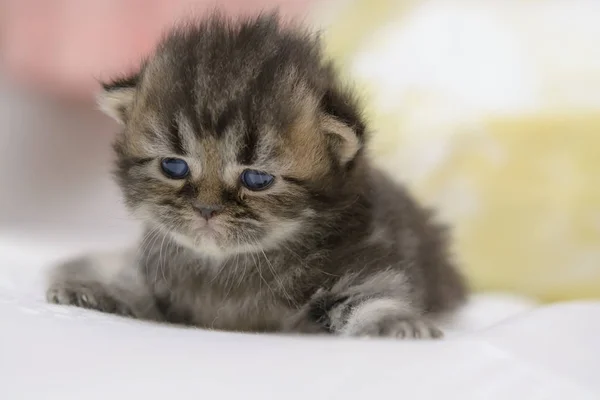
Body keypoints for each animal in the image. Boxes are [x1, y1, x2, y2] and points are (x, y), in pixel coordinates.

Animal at [48, 12, 468, 338]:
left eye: (256, 180)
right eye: (174, 167)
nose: (206, 210)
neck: (228, 268)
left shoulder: (364, 264)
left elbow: (373, 299)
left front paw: (396, 323)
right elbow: (132, 282)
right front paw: (91, 286)